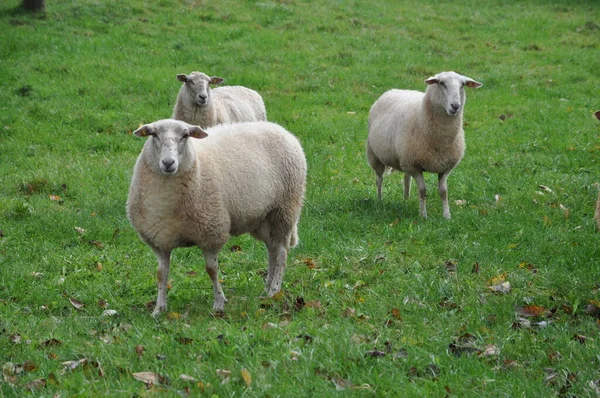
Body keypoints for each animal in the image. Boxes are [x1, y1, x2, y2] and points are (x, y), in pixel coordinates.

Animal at [125, 118, 304, 318]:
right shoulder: (159, 241)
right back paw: (266, 289)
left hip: (284, 211)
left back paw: (274, 290)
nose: (168, 163)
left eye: (185, 135)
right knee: (272, 250)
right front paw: (159, 309)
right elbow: (161, 274)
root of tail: (280, 128)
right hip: (262, 218)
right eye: (153, 134)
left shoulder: (212, 232)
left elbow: (211, 270)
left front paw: (219, 303)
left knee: (281, 252)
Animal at [366, 72, 482, 221]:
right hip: (375, 155)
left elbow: (443, 191)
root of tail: (393, 90)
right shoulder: (415, 166)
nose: (455, 106)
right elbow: (422, 190)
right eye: (441, 83)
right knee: (379, 179)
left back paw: (406, 200)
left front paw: (447, 216)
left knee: (406, 179)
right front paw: (423, 215)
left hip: (404, 158)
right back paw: (380, 201)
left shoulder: (445, 167)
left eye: (462, 85)